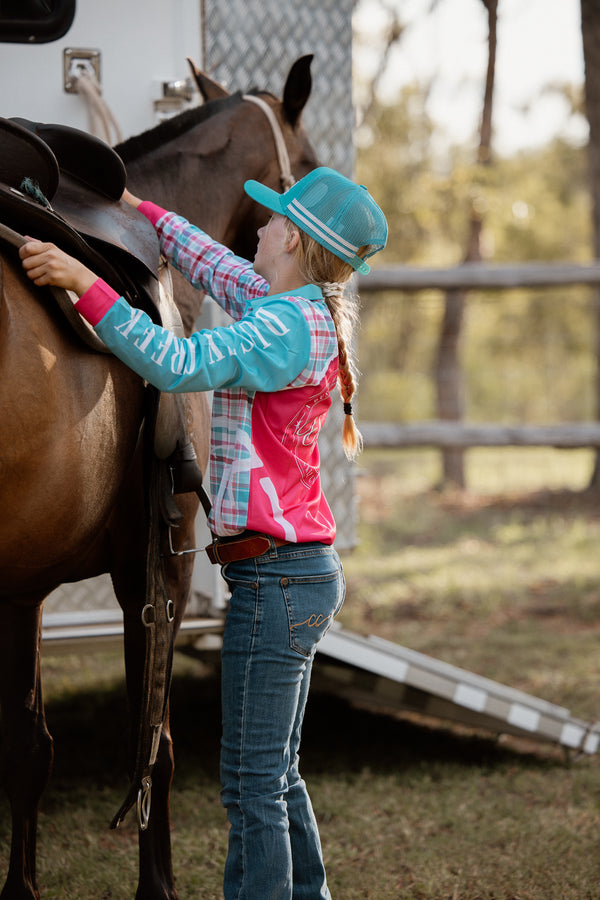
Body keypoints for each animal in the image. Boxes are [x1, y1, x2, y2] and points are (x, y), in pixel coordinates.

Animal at [0, 56, 318, 900]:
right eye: (310, 163)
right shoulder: (161, 563)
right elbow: (156, 742)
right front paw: (158, 886)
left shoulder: (23, 586)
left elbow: (27, 745)